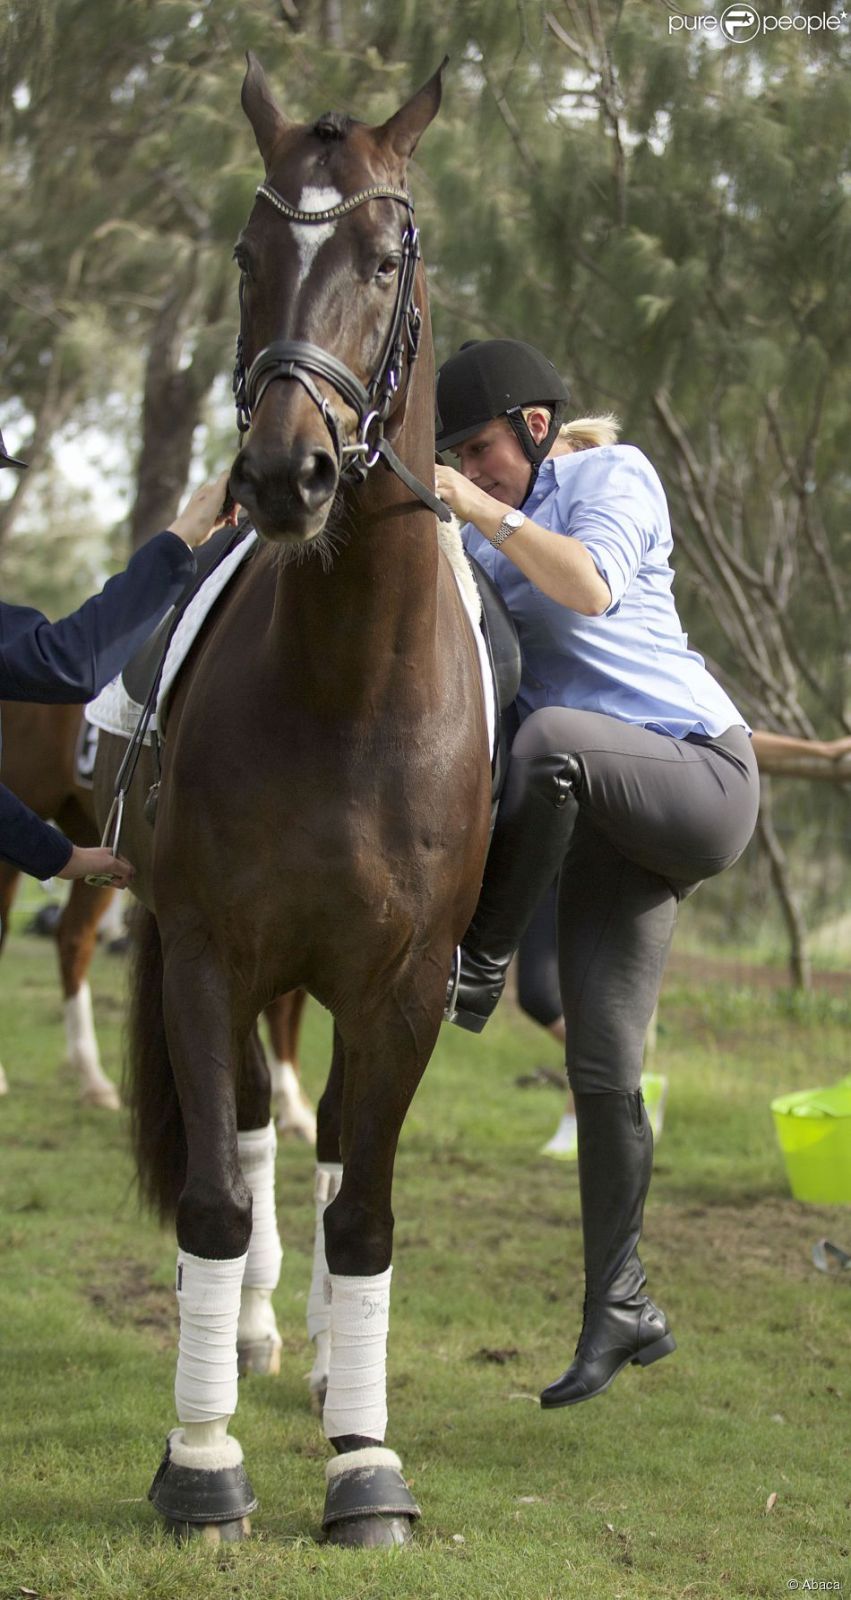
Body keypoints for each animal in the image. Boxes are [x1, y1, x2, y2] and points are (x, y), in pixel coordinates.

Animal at [93, 56, 489, 1542]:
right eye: (249, 258)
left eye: (382, 258)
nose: (282, 475)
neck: (347, 687)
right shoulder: (212, 952)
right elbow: (216, 1195)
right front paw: (201, 1461)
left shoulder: (404, 982)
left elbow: (363, 1213)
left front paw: (365, 1465)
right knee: (266, 1144)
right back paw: (262, 1338)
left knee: (323, 1167)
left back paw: (326, 1368)